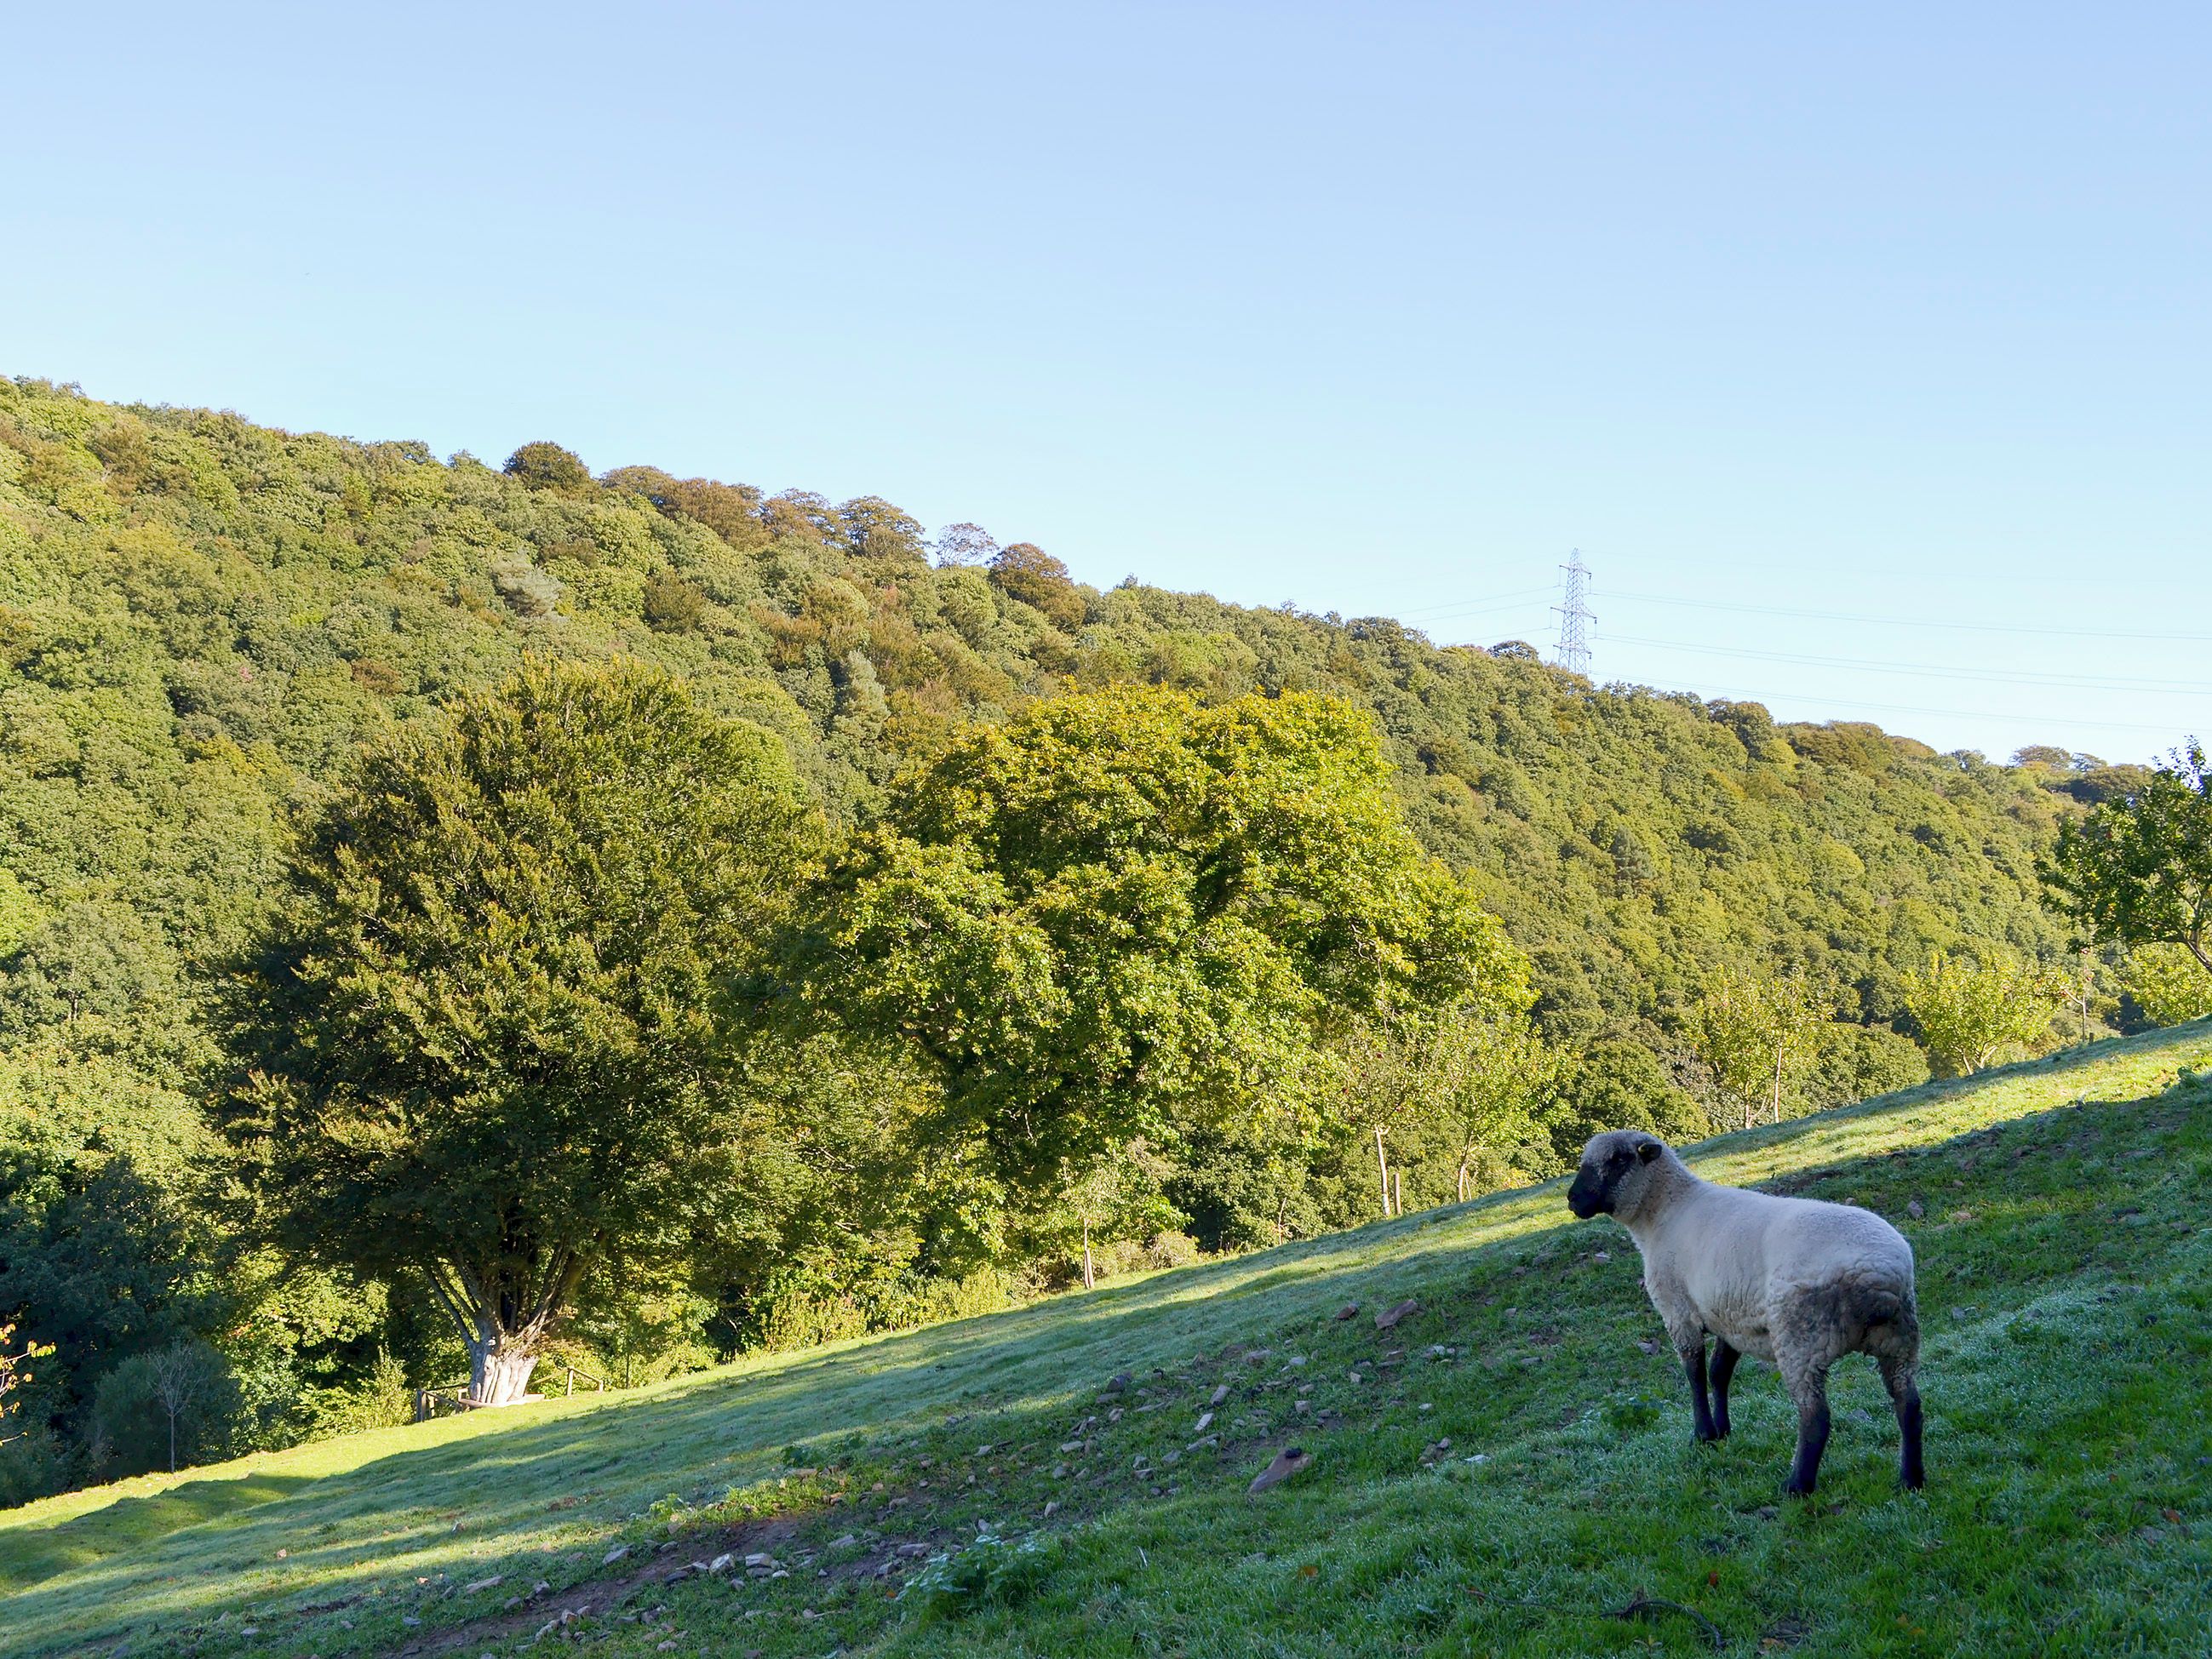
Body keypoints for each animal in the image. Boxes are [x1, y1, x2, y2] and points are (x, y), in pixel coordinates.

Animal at [1567, 1129, 1924, 1496]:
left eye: (1618, 1159)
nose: (1573, 1200)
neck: (1664, 1212)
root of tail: (1878, 1277)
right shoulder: (1730, 1318)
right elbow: (1719, 1373)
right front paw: (1722, 1430)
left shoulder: (1679, 1312)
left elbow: (1695, 1375)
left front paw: (1703, 1434)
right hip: (1898, 1339)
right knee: (1908, 1404)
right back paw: (1910, 1479)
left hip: (1801, 1340)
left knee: (1816, 1416)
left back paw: (1797, 1486)